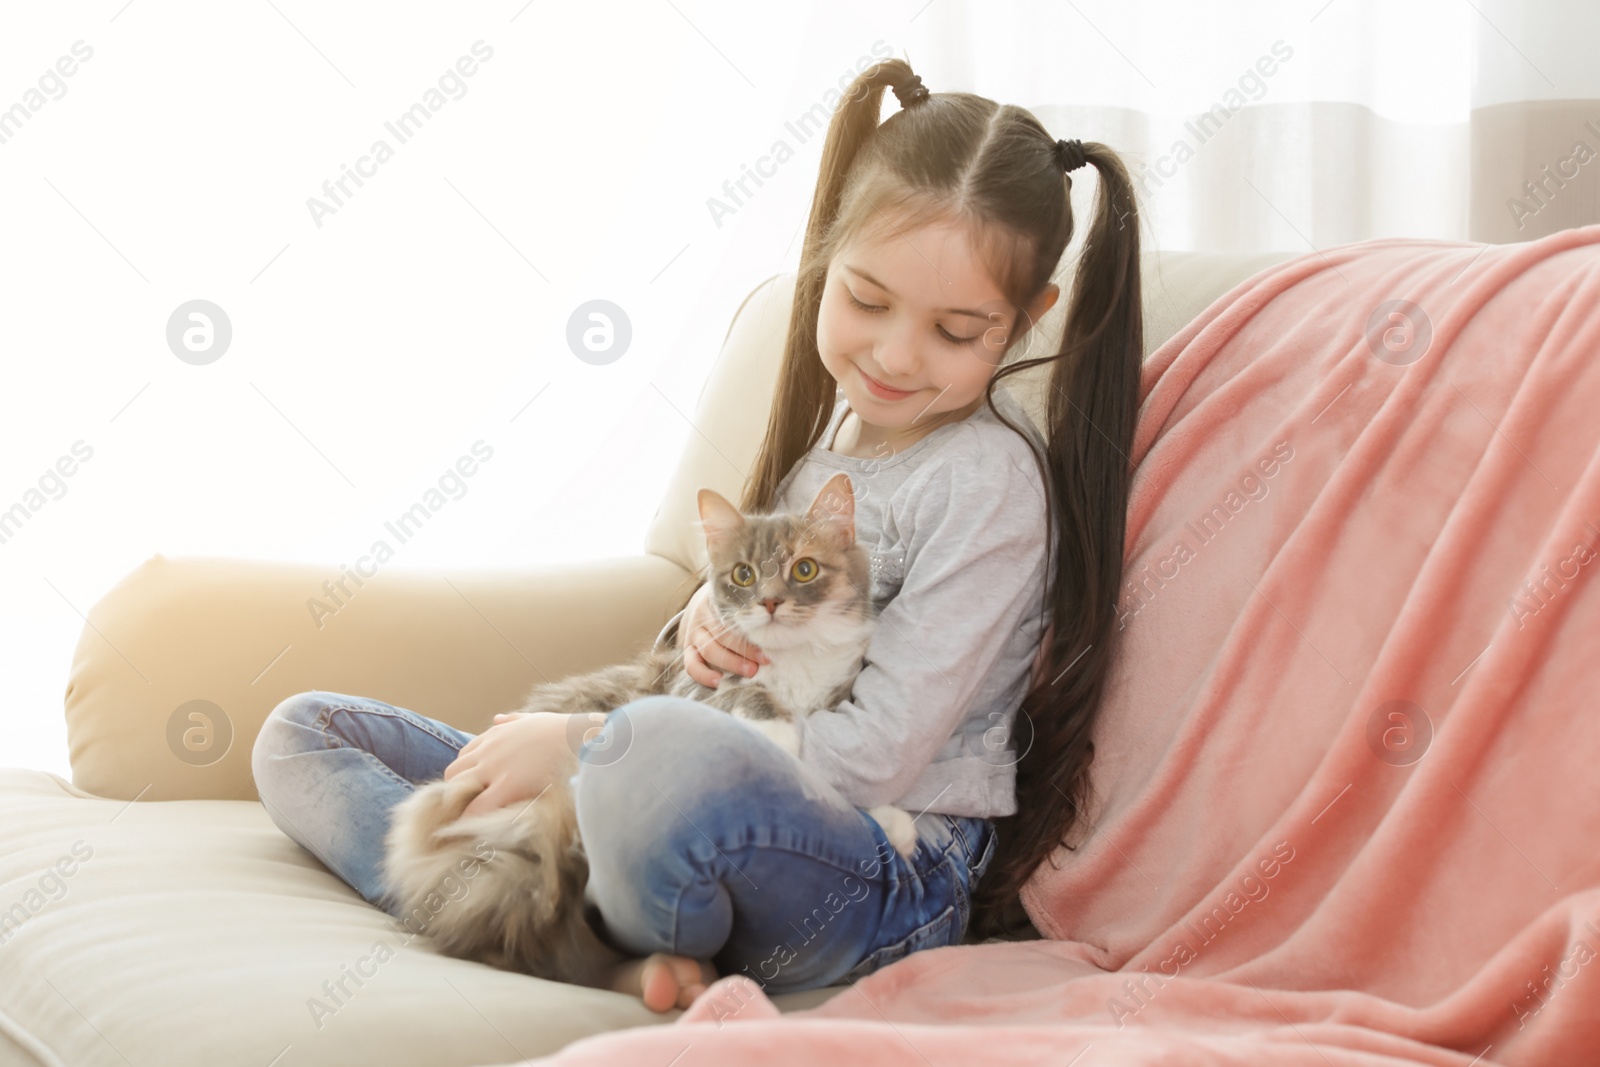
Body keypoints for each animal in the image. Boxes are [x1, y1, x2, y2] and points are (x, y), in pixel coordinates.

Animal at [379, 470, 921, 991]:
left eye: (804, 569)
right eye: (743, 575)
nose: (769, 603)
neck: (798, 661)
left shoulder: (841, 700)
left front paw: (893, 825)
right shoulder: (700, 687)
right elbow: (759, 704)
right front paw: (780, 740)